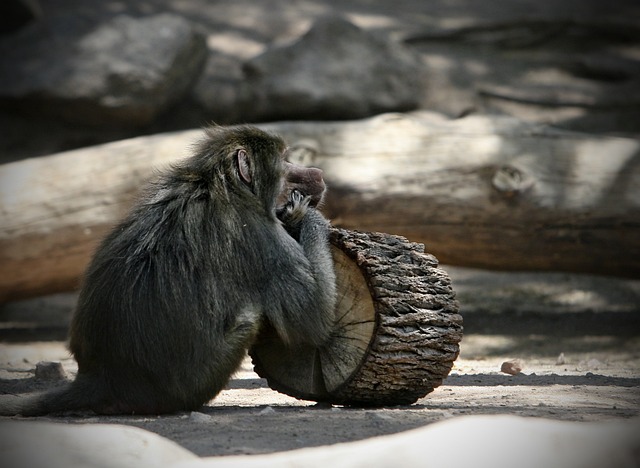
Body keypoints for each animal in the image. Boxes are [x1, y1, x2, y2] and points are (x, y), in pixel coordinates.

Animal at [0, 125, 338, 416]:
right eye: (285, 162)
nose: (317, 173)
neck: (225, 188)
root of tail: (97, 377)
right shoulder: (261, 235)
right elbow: (314, 322)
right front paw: (308, 217)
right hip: (191, 384)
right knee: (250, 318)